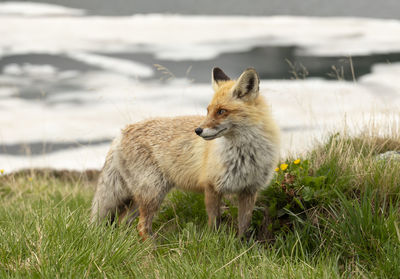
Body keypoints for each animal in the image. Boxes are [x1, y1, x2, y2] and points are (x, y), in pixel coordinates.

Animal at [91, 68, 280, 241]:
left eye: (221, 111)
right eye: (208, 110)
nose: (198, 130)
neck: (245, 154)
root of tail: (121, 133)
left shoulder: (249, 190)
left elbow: (244, 226)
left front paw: (243, 247)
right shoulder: (211, 187)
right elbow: (214, 222)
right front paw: (214, 242)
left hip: (141, 198)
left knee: (123, 222)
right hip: (153, 193)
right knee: (141, 226)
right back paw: (153, 247)